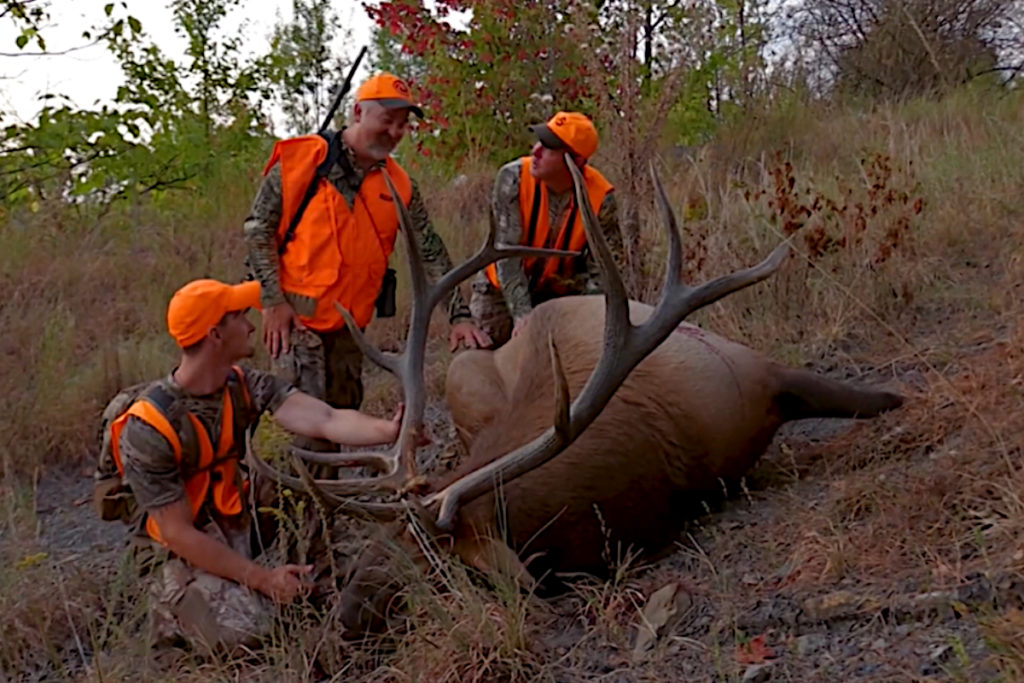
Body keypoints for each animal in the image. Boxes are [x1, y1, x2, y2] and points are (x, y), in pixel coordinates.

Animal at [247, 158, 904, 635]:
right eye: (374, 546)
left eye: (427, 563)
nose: (339, 619)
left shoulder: (755, 375)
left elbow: (856, 395)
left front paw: (894, 403)